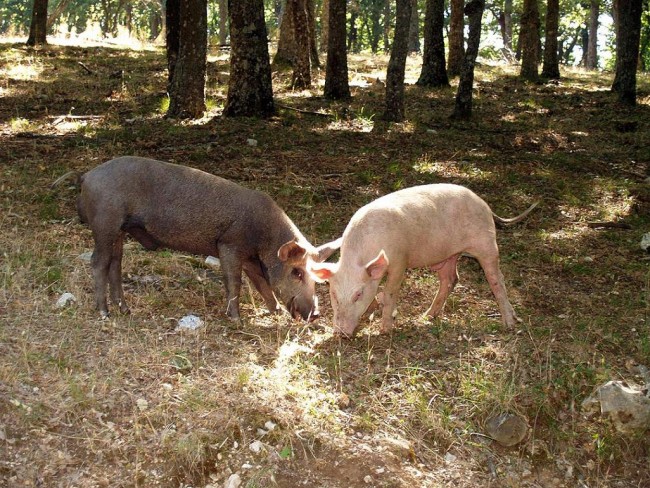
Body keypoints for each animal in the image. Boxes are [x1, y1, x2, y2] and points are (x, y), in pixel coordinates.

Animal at [76, 156, 339, 320]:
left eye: (316, 276)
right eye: (297, 272)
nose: (315, 315)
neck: (265, 237)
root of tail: (87, 175)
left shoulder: (251, 258)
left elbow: (263, 285)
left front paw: (277, 314)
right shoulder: (229, 245)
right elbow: (234, 282)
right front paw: (236, 319)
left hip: (119, 230)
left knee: (115, 264)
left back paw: (125, 310)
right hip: (105, 223)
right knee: (98, 261)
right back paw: (104, 313)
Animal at [308, 184, 538, 338]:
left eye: (358, 294)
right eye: (334, 294)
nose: (340, 333)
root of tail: (484, 204)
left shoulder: (399, 260)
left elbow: (390, 293)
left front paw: (385, 330)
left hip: (487, 244)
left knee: (497, 280)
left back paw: (509, 324)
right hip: (448, 256)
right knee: (450, 279)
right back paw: (426, 317)